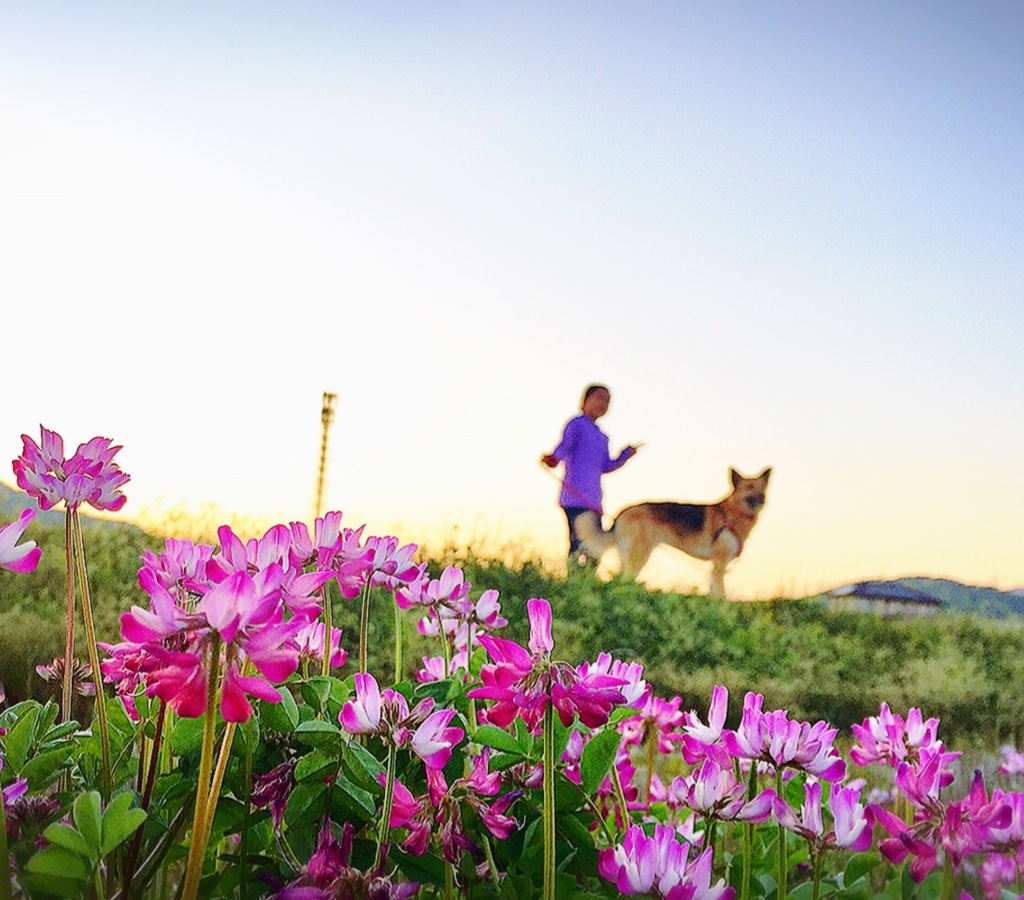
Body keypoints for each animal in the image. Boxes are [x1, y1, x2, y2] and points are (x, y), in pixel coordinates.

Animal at [581, 470, 770, 597]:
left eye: (762, 489)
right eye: (749, 487)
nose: (761, 499)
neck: (733, 512)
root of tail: (622, 512)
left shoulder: (716, 566)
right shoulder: (719, 564)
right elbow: (720, 596)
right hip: (639, 556)